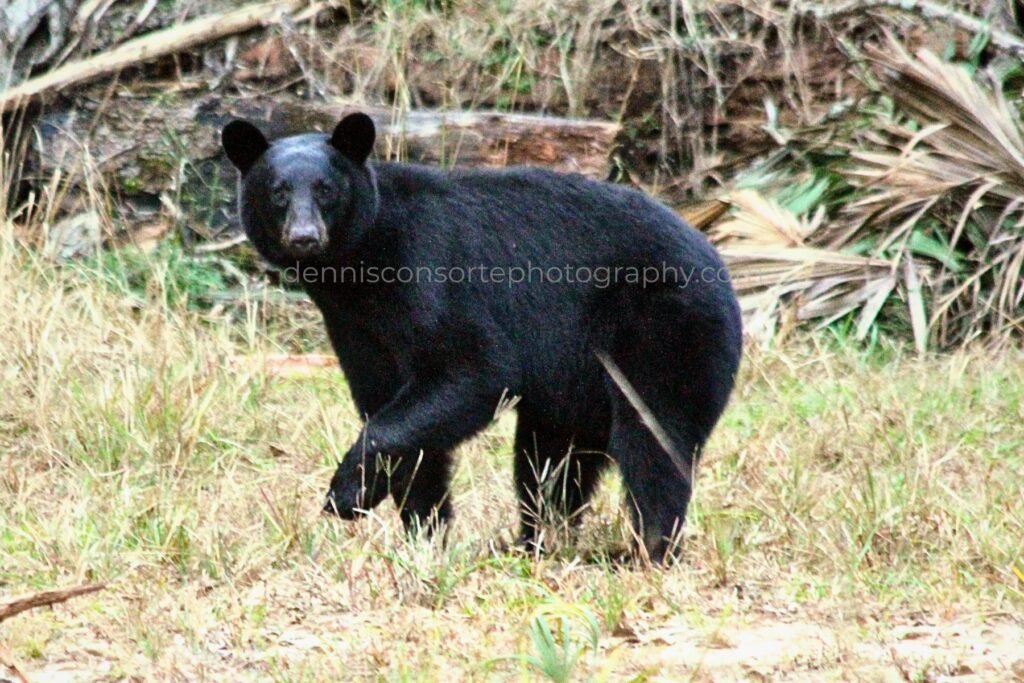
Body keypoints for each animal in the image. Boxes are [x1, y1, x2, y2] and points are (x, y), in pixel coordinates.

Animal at [221, 113, 743, 562]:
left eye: (326, 190)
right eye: (278, 192)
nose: (304, 237)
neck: (357, 270)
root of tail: (719, 269)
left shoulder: (426, 273)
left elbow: (473, 369)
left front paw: (346, 492)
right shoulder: (356, 330)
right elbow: (397, 413)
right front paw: (424, 535)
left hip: (665, 329)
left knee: (653, 438)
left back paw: (646, 551)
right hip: (579, 378)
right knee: (551, 459)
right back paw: (535, 542)